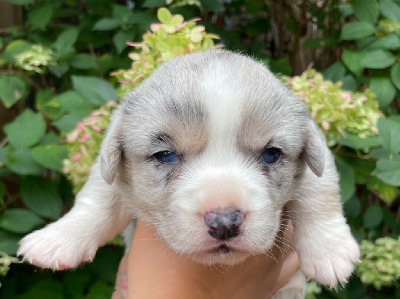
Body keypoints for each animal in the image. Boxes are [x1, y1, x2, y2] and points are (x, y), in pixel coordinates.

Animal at [18, 50, 360, 298]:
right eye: (166, 155)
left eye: (271, 154)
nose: (224, 222)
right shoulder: (112, 175)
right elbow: (95, 201)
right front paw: (56, 239)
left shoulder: (320, 161)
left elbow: (319, 195)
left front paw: (330, 252)